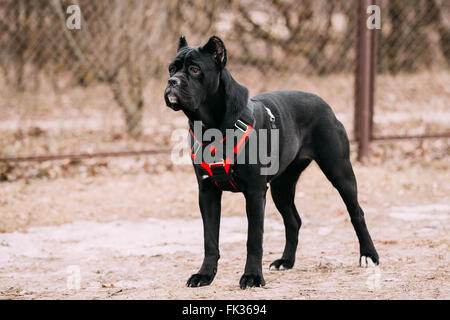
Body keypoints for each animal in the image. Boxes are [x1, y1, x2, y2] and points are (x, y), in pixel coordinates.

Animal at [163, 35, 378, 290]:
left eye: (195, 69)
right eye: (172, 69)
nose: (172, 81)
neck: (210, 126)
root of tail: (324, 104)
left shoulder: (255, 192)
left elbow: (254, 239)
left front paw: (252, 277)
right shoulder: (207, 192)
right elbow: (210, 239)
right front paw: (205, 275)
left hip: (339, 171)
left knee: (357, 212)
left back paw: (368, 255)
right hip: (281, 187)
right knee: (293, 221)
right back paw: (286, 261)